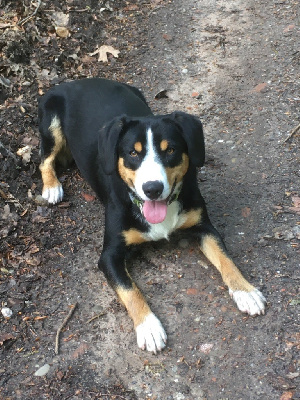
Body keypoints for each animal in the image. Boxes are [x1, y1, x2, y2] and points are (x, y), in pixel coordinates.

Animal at [38, 78, 266, 354]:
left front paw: (245, 291)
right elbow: (130, 290)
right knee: (44, 160)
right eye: (133, 153)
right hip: (51, 126)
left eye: (171, 150)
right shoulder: (109, 255)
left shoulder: (204, 227)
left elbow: (225, 258)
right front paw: (148, 327)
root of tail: (77, 81)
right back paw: (51, 186)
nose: (153, 188)